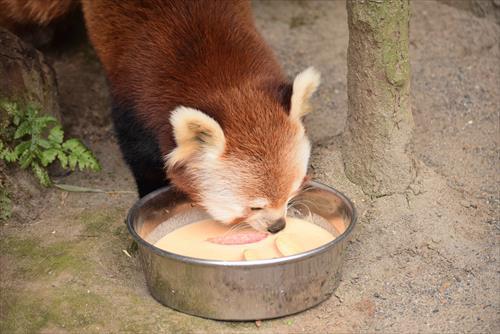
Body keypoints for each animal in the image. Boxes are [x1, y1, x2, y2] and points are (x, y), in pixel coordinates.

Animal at [1, 0, 320, 234]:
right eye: (254, 207)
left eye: (292, 190)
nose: (277, 226)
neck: (224, 81)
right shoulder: (134, 103)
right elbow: (141, 156)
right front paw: (152, 190)